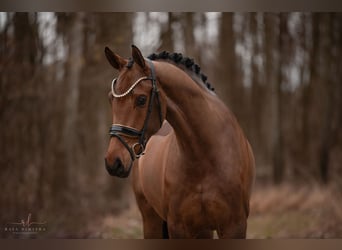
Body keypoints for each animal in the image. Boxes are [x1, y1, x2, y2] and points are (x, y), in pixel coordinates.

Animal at [104, 45, 256, 238]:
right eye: (111, 99)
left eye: (141, 99)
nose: (113, 162)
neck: (205, 157)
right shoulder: (178, 227)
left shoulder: (234, 226)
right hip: (151, 219)